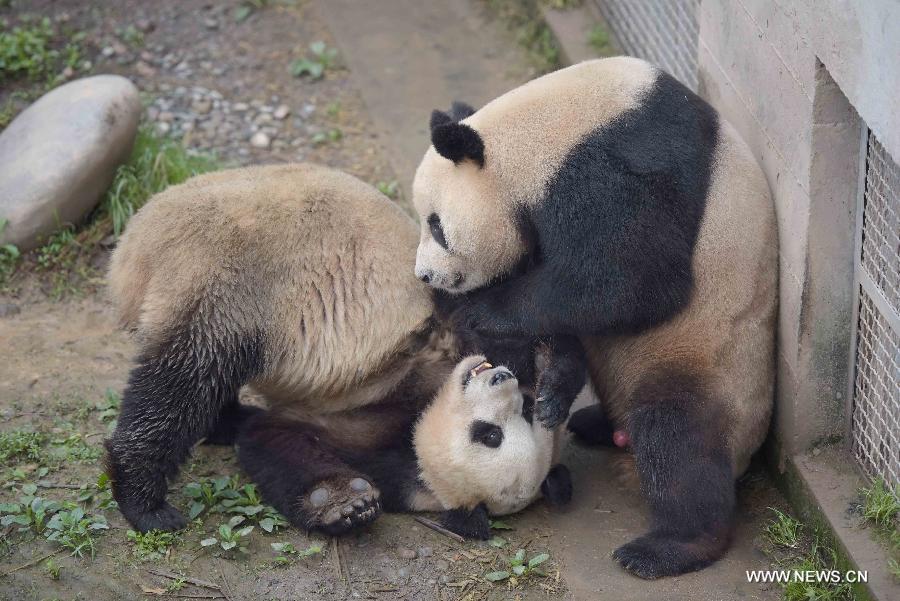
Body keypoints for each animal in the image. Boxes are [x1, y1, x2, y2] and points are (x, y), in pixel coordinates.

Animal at [412, 58, 776, 580]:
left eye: (437, 226)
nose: (426, 275)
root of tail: (745, 451)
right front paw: (550, 392)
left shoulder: (616, 167)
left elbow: (630, 281)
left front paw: (480, 309)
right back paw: (595, 423)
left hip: (710, 364)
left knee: (678, 439)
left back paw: (666, 548)